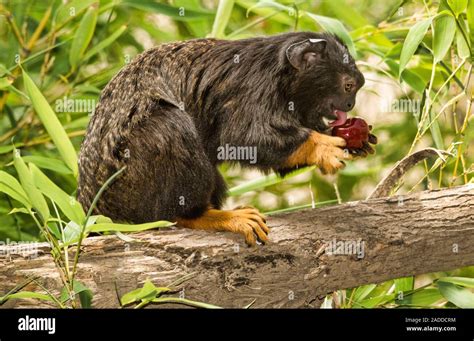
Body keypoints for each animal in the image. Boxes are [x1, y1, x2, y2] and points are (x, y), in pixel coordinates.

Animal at [79, 31, 380, 244]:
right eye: (348, 86)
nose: (351, 104)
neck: (283, 80)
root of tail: (91, 205)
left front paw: (355, 140)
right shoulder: (254, 85)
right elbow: (242, 137)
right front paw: (320, 146)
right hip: (126, 187)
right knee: (169, 126)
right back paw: (200, 216)